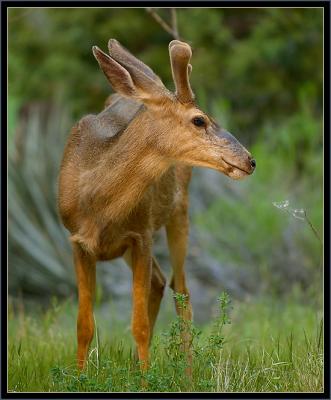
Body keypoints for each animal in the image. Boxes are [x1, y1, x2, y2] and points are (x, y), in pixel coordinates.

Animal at [57, 39, 256, 370]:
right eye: (200, 119)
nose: (250, 160)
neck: (98, 205)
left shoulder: (143, 234)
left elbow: (138, 324)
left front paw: (145, 378)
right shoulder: (77, 241)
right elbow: (83, 324)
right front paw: (79, 375)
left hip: (180, 211)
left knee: (181, 291)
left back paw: (187, 373)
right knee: (160, 282)